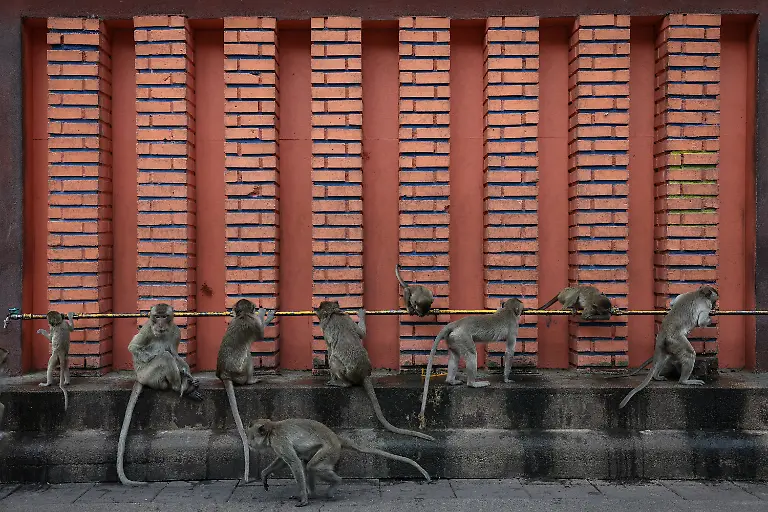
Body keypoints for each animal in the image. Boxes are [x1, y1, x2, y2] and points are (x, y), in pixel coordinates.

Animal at [117, 303, 202, 486]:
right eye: (157, 316)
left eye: (164, 316)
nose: (160, 324)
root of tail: (138, 377)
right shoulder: (147, 329)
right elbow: (134, 347)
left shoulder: (176, 332)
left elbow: (175, 353)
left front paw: (186, 372)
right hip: (149, 376)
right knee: (164, 357)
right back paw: (179, 387)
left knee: (170, 357)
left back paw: (187, 385)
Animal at [216, 298, 275, 484]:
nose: (257, 308)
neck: (242, 316)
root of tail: (224, 374)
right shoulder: (252, 323)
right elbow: (261, 333)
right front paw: (265, 314)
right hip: (240, 372)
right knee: (248, 355)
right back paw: (251, 380)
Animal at [248, 417, 431, 507]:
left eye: (251, 436)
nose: (249, 444)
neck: (272, 430)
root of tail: (336, 437)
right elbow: (285, 461)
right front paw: (264, 474)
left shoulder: (279, 441)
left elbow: (294, 463)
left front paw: (304, 499)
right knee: (308, 464)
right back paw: (313, 493)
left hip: (330, 450)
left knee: (311, 466)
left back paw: (334, 483)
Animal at [315, 301, 435, 442]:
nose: (316, 310)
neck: (334, 313)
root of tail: (363, 374)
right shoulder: (347, 318)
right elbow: (362, 334)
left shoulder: (326, 328)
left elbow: (330, 349)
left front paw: (332, 378)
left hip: (349, 374)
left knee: (334, 359)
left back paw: (342, 383)